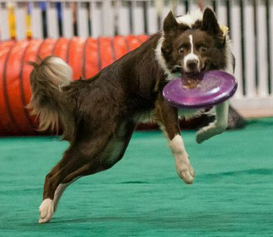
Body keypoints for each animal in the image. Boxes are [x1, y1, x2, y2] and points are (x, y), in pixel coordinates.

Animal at [29, 6, 234, 222]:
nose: (192, 63)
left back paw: (52, 206)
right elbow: (176, 140)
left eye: (203, 48)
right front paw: (185, 170)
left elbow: (222, 122)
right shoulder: (163, 102)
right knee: (54, 174)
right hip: (93, 141)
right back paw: (45, 208)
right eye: (182, 50)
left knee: (67, 176)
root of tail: (88, 86)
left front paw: (202, 134)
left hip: (111, 152)